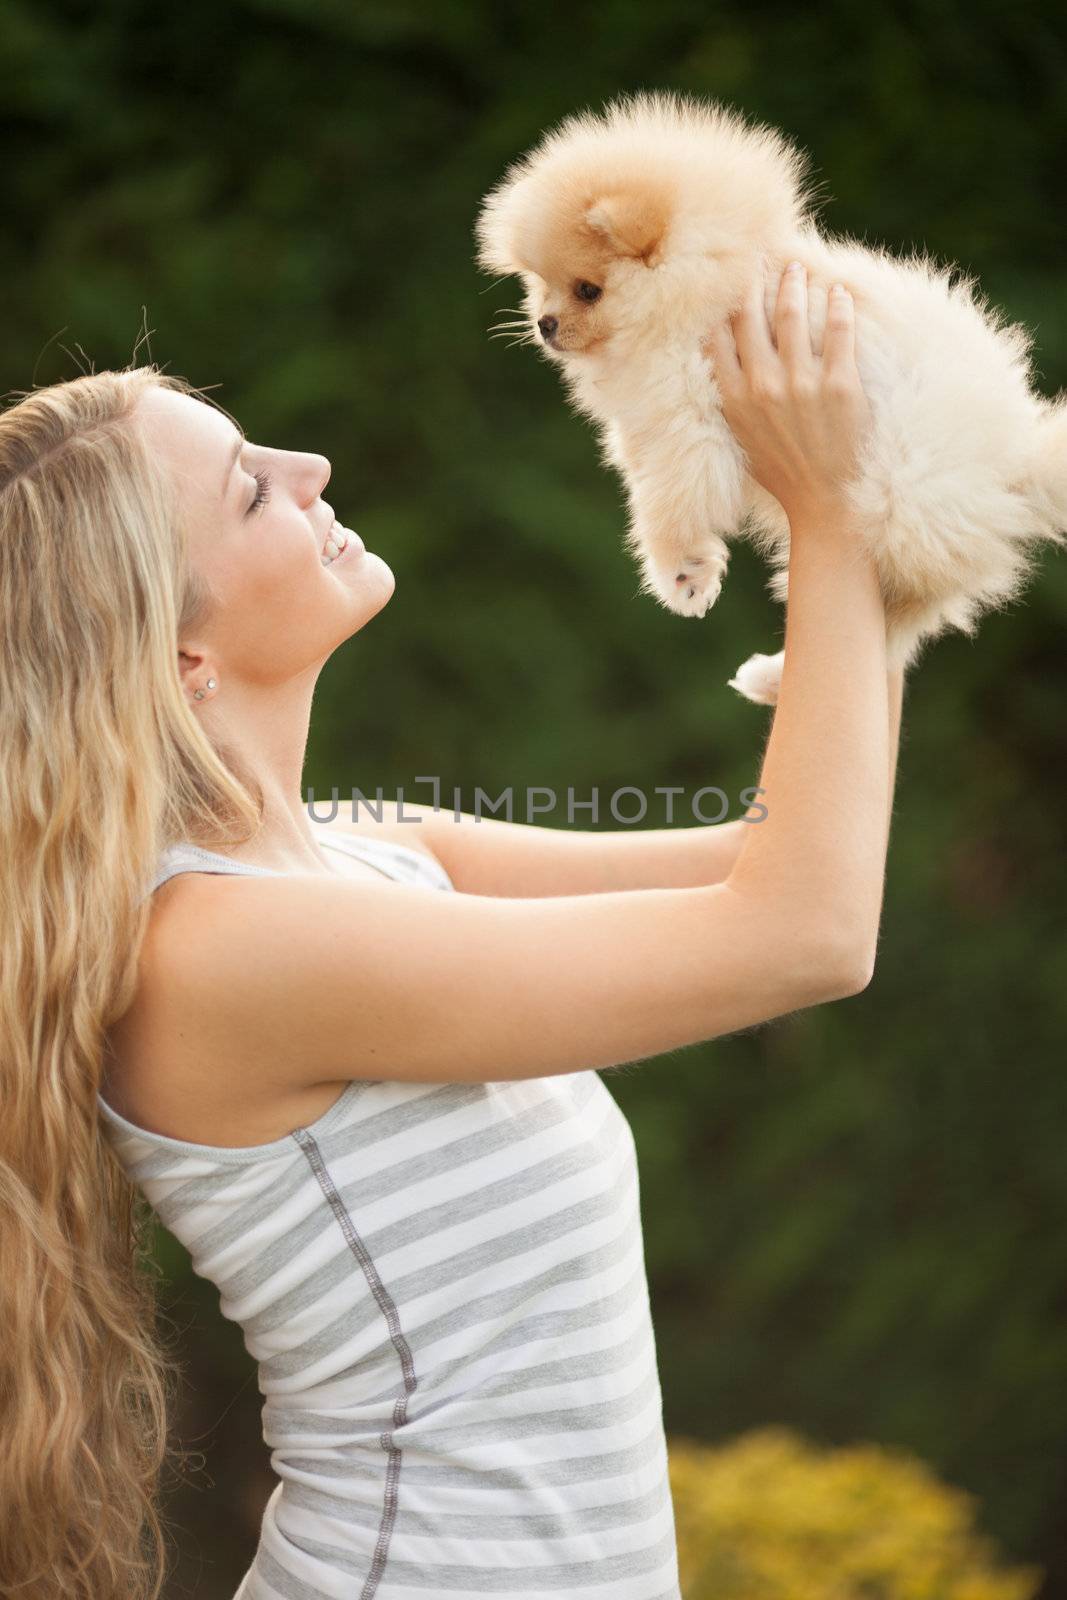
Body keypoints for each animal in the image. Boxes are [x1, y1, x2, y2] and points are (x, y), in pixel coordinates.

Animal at [476, 90, 1067, 704]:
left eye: (587, 290)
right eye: (540, 285)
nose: (544, 324)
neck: (705, 290)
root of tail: (1018, 461)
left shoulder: (689, 423)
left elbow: (668, 506)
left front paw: (681, 574)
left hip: (897, 502)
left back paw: (771, 675)